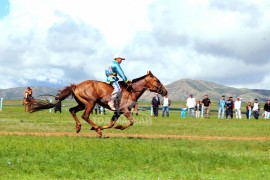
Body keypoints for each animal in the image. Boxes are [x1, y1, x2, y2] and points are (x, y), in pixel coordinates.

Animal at [30, 70, 168, 136]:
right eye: (157, 80)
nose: (165, 91)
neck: (131, 90)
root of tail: (76, 86)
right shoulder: (125, 110)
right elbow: (131, 121)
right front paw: (118, 127)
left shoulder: (117, 112)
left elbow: (111, 124)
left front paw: (102, 127)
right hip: (90, 103)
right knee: (85, 116)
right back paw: (97, 130)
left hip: (82, 104)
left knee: (72, 110)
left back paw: (79, 127)